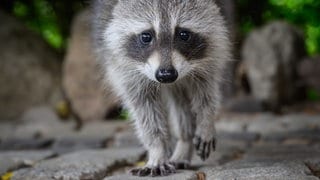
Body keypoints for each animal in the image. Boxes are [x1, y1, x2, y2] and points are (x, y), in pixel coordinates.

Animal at [92, 0, 230, 177]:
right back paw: (183, 140)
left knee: (180, 97)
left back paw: (185, 140)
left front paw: (206, 119)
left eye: (183, 34)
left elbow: (206, 86)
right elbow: (144, 108)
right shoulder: (121, 64)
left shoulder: (214, 44)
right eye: (146, 36)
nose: (166, 74)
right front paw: (157, 149)